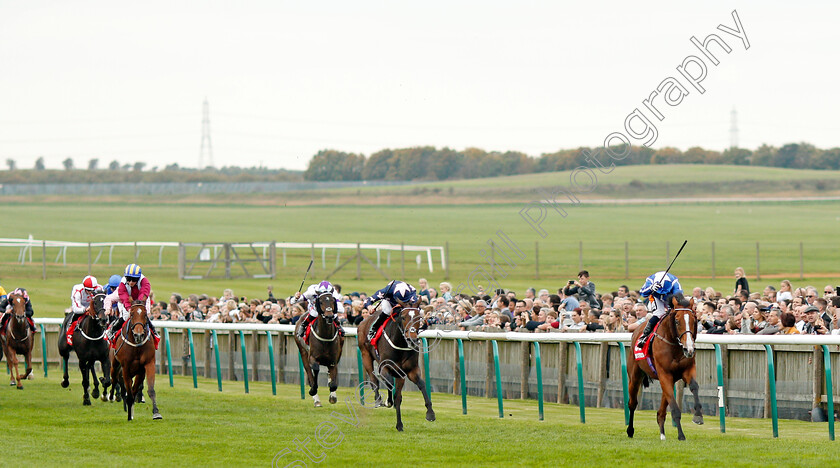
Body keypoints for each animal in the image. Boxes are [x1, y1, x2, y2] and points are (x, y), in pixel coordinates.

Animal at [356, 304, 436, 432]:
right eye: (403, 318)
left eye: (419, 318)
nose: (412, 338)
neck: (400, 344)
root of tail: (364, 321)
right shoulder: (384, 366)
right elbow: (389, 383)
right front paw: (388, 401)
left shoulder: (410, 371)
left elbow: (421, 385)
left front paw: (430, 413)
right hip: (365, 355)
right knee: (374, 379)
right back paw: (378, 399)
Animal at [624, 294, 704, 440]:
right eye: (677, 321)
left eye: (694, 320)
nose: (689, 349)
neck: (674, 346)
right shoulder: (664, 374)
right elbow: (675, 408)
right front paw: (681, 435)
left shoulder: (687, 370)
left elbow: (694, 386)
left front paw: (698, 416)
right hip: (635, 376)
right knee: (632, 404)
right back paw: (630, 430)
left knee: (661, 411)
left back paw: (662, 434)